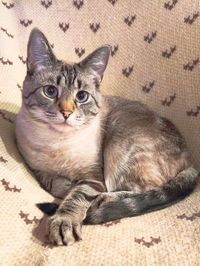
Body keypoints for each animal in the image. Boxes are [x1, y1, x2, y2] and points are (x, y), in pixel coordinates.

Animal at [15, 28, 197, 246]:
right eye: (50, 91)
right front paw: (64, 185)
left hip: (120, 142)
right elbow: (52, 183)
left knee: (147, 188)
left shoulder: (94, 178)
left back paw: (103, 200)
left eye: (81, 96)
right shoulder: (37, 168)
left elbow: (76, 197)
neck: (57, 144)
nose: (66, 113)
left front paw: (63, 221)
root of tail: (190, 161)